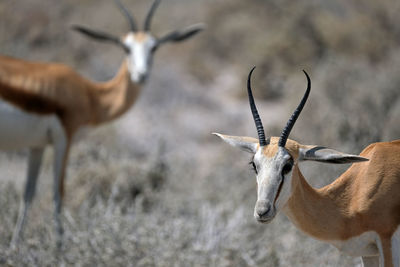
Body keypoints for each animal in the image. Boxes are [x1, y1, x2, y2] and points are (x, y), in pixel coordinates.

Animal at [0, 0, 203, 249]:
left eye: (153, 47)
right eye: (126, 48)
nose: (141, 75)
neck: (90, 94)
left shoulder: (37, 145)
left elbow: (28, 192)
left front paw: (14, 246)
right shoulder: (64, 138)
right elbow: (59, 192)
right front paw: (60, 248)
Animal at [214, 69, 400, 267]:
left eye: (287, 165)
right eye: (254, 164)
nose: (262, 211)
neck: (354, 193)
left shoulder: (387, 241)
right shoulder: (369, 253)